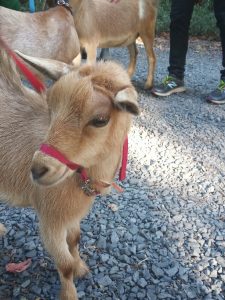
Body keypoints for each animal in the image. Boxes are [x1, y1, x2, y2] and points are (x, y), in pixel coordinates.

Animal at [0, 47, 139, 300]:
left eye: (100, 119)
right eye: (51, 109)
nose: (38, 169)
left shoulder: (71, 215)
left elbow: (75, 239)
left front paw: (81, 268)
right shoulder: (50, 219)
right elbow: (63, 264)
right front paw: (69, 292)